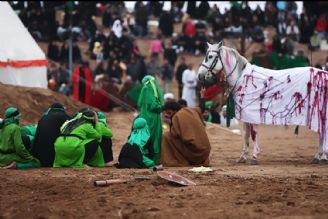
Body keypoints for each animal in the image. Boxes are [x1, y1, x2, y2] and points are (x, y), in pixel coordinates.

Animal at [197, 41, 328, 164]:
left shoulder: (252, 115)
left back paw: (322, 157)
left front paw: (254, 157)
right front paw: (243, 157)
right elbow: (245, 135)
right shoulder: (245, 116)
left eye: (210, 56)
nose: (199, 76)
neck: (241, 78)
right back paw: (318, 157)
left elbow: (253, 135)